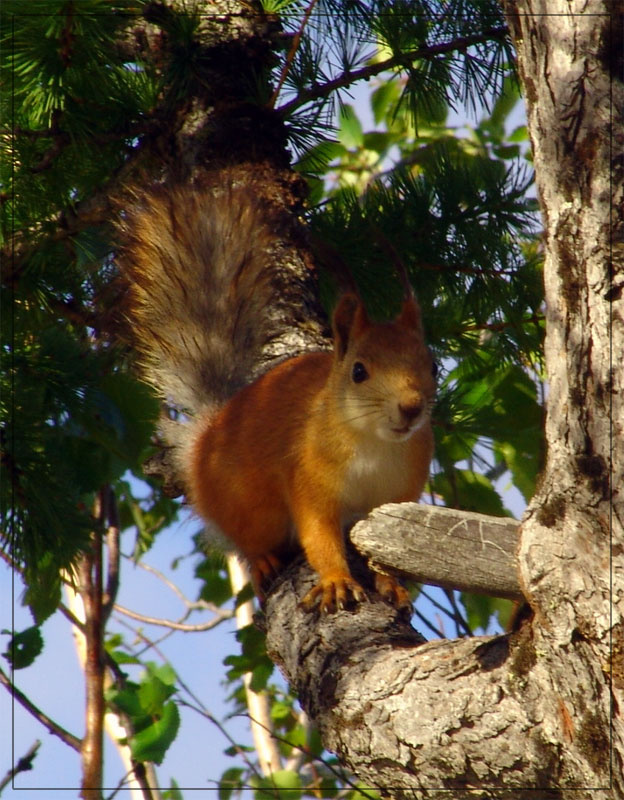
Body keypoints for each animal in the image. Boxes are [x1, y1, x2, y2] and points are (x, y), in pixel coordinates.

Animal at [118, 178, 436, 613]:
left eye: (433, 365)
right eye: (358, 371)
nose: (411, 408)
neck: (374, 445)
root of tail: (203, 441)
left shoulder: (395, 502)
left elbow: (386, 554)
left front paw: (392, 585)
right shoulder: (309, 479)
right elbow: (319, 537)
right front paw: (336, 581)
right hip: (253, 510)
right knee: (246, 542)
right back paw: (263, 561)